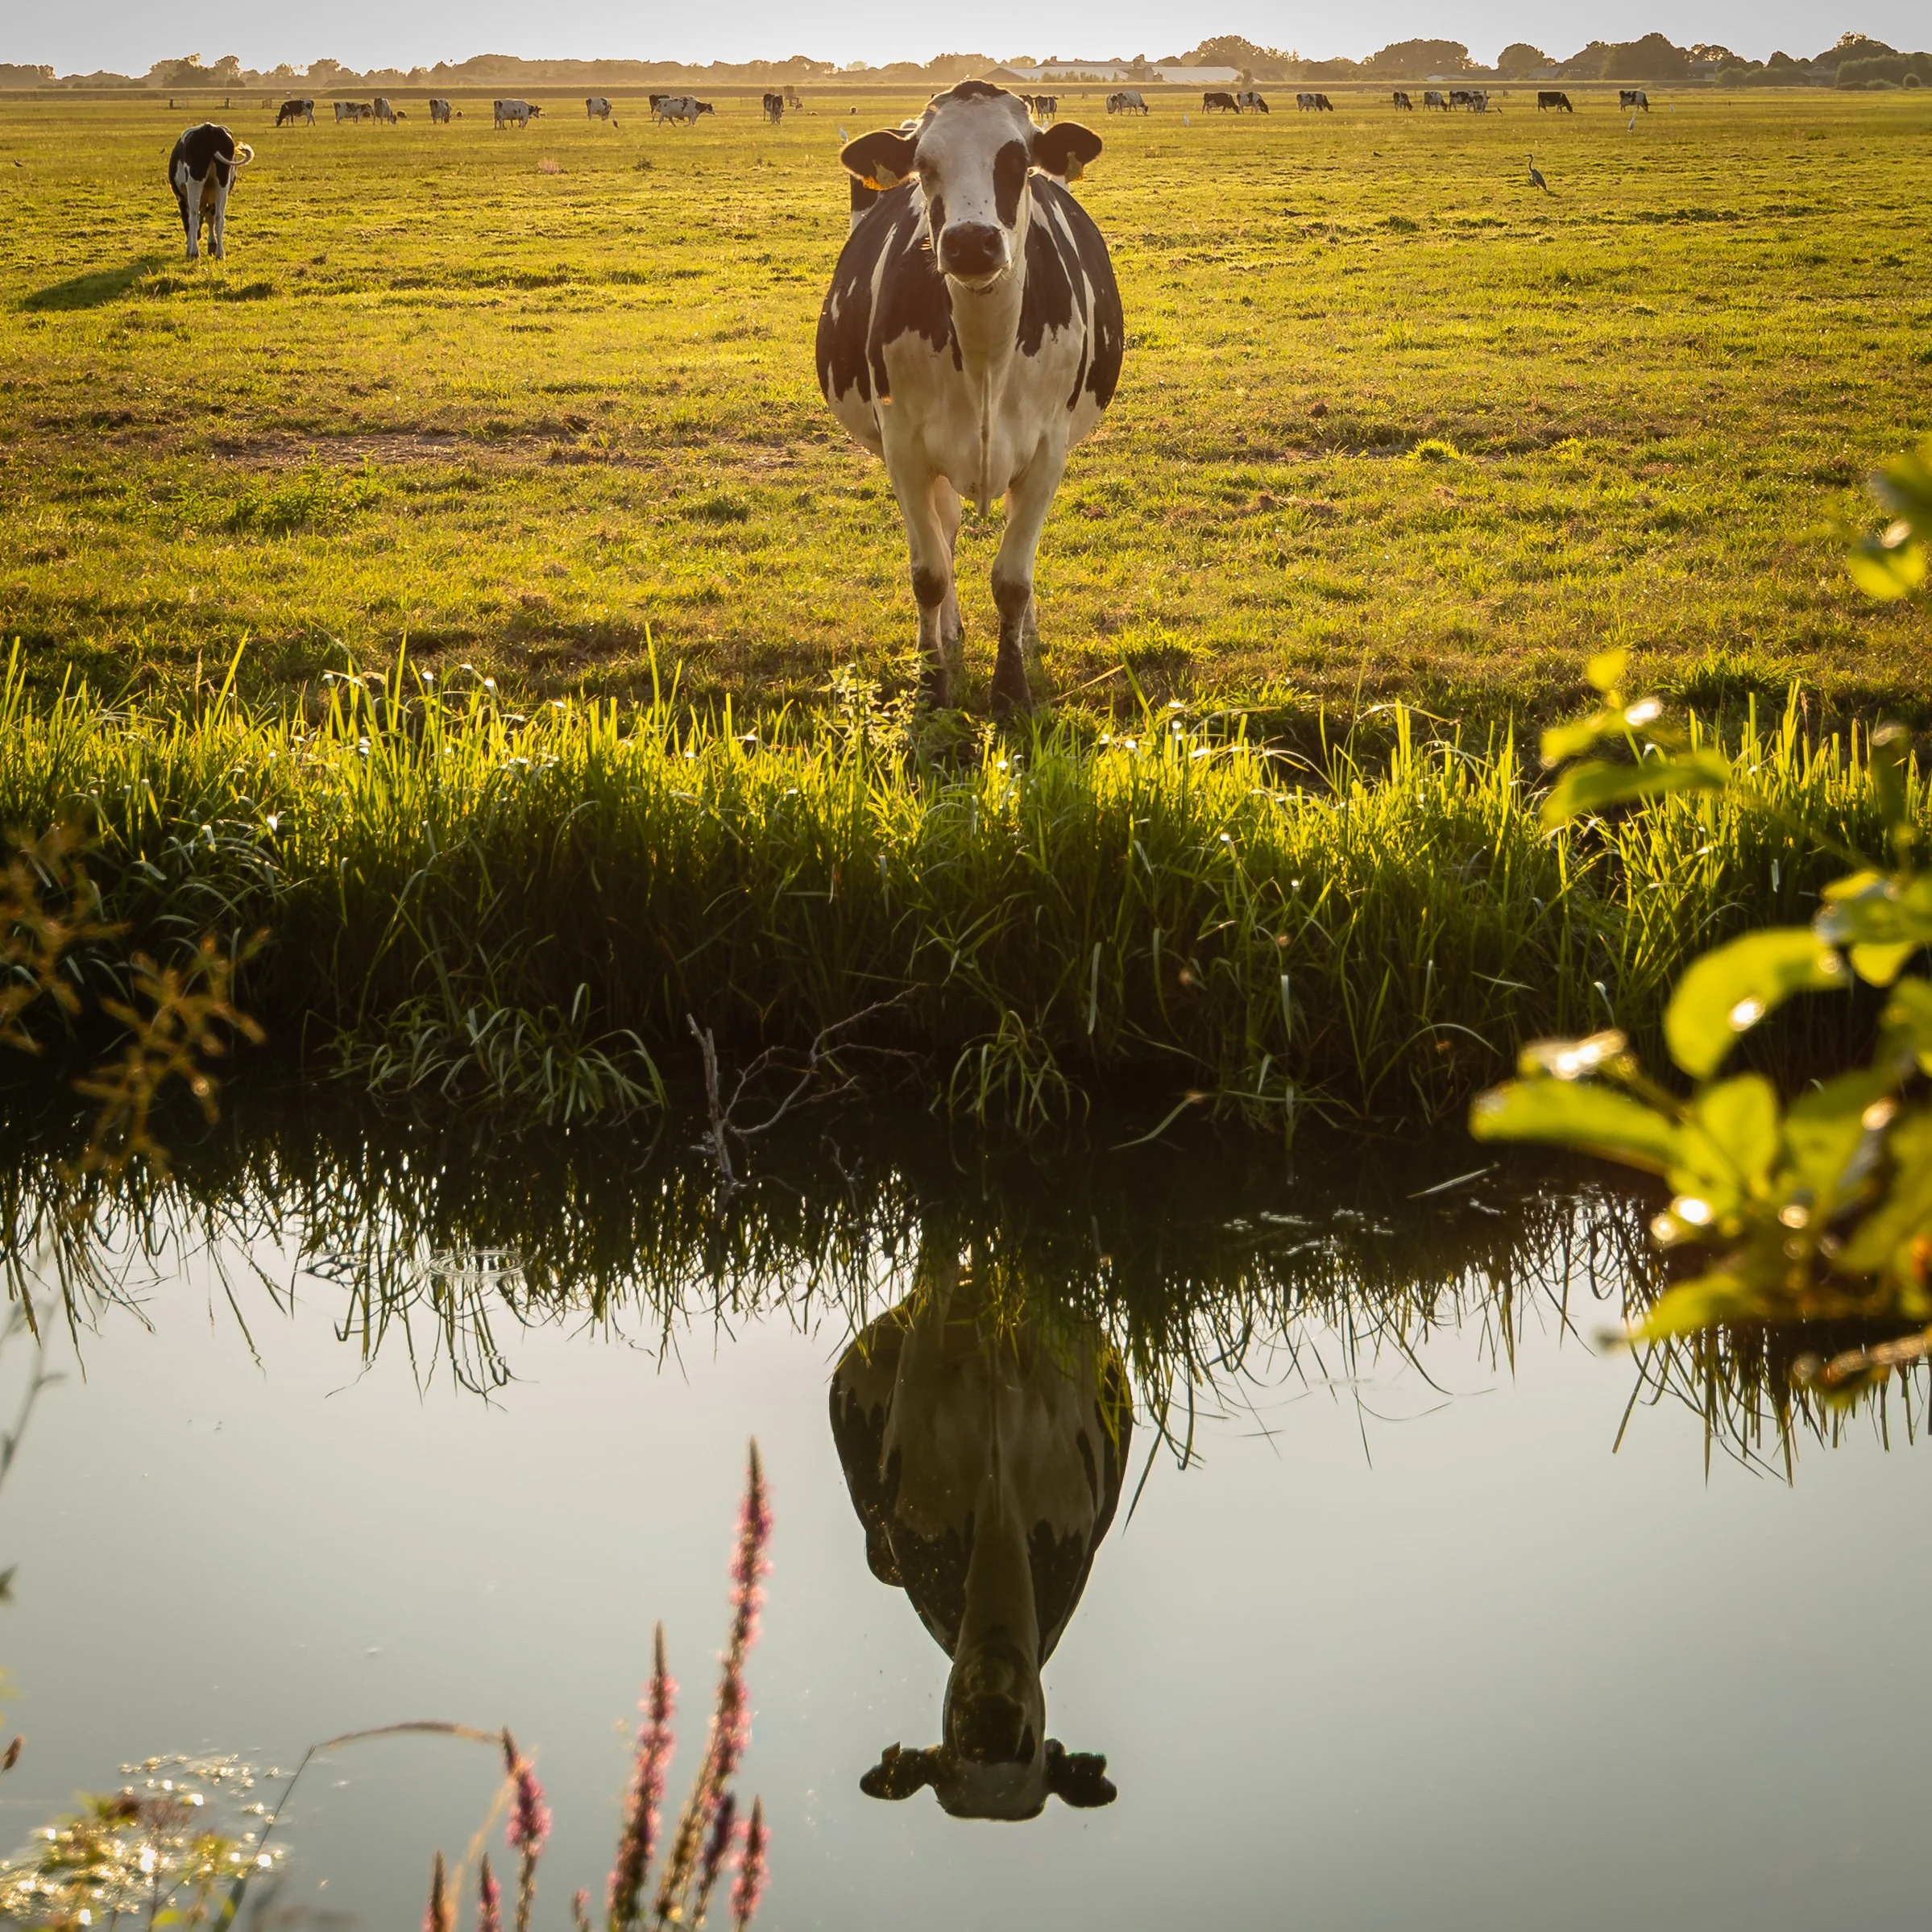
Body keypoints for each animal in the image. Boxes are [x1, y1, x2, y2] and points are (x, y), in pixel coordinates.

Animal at [167, 122, 253, 260]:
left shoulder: (180, 197)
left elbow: (189, 221)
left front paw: (190, 247)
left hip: (195, 181)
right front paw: (212, 244)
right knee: (219, 217)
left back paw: (194, 252)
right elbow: (210, 218)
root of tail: (209, 129)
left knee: (194, 216)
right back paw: (220, 253)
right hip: (222, 182)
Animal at [817, 81, 1123, 716]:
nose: (971, 243)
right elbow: (930, 572)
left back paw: (1027, 638)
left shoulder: (1048, 449)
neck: (986, 355)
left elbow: (1013, 578)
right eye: (925, 166)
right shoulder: (904, 448)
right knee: (947, 533)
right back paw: (945, 637)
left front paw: (1011, 691)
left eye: (1018, 162)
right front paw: (933, 684)